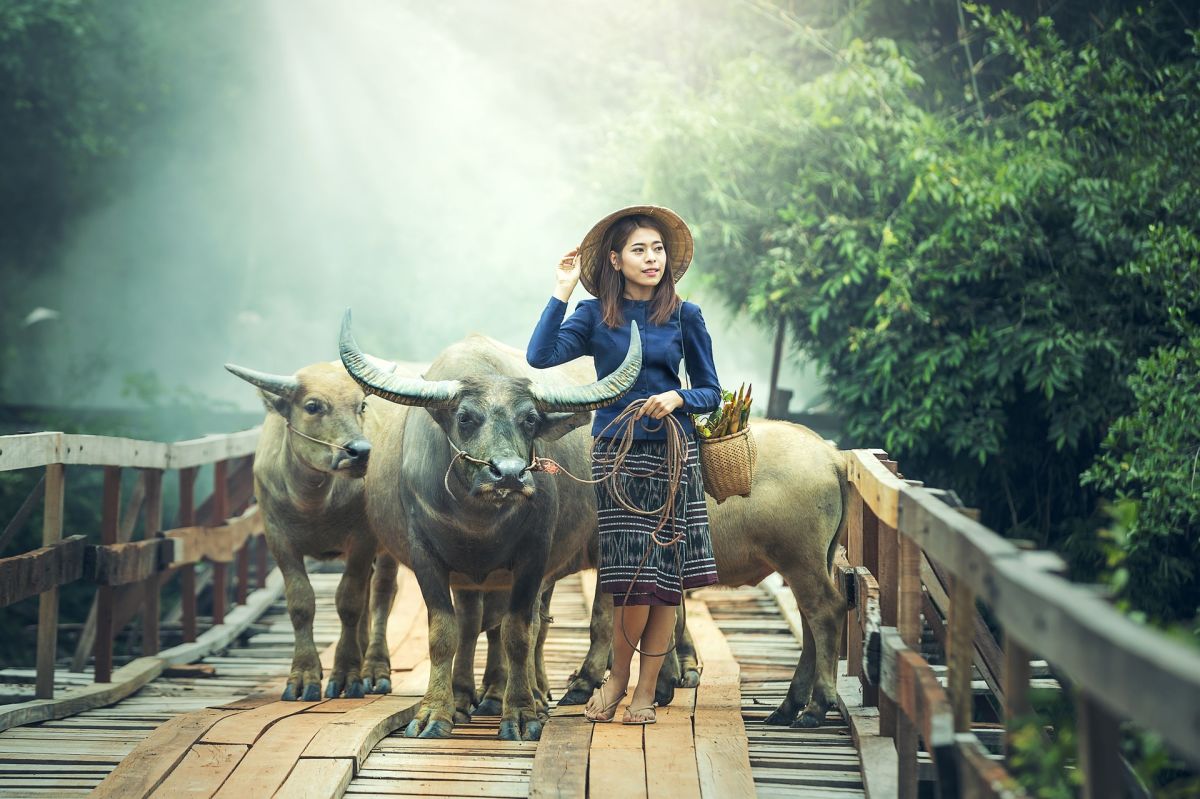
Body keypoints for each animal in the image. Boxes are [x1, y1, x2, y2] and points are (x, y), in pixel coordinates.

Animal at [229, 359, 403, 695]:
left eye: (361, 405)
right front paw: (302, 676)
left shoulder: (362, 539)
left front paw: (346, 674)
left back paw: (374, 668)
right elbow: (300, 603)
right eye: (313, 406)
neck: (313, 502)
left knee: (381, 592)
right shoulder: (278, 539)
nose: (360, 452)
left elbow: (349, 601)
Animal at [340, 311, 638, 739]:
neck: (475, 518)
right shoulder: (427, 554)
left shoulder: (533, 555)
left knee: (612, 609)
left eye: (530, 419)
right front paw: (437, 712)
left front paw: (522, 713)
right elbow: (446, 632)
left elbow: (517, 632)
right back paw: (473, 695)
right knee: (477, 624)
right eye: (465, 417)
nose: (510, 474)